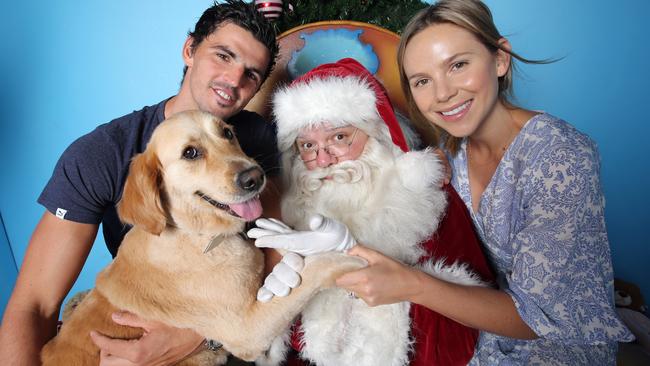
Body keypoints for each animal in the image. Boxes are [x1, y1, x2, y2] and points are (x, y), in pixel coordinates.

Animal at [40, 110, 364, 364]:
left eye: (227, 133)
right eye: (190, 153)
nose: (255, 177)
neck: (199, 235)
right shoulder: (247, 329)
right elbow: (311, 274)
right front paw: (344, 259)